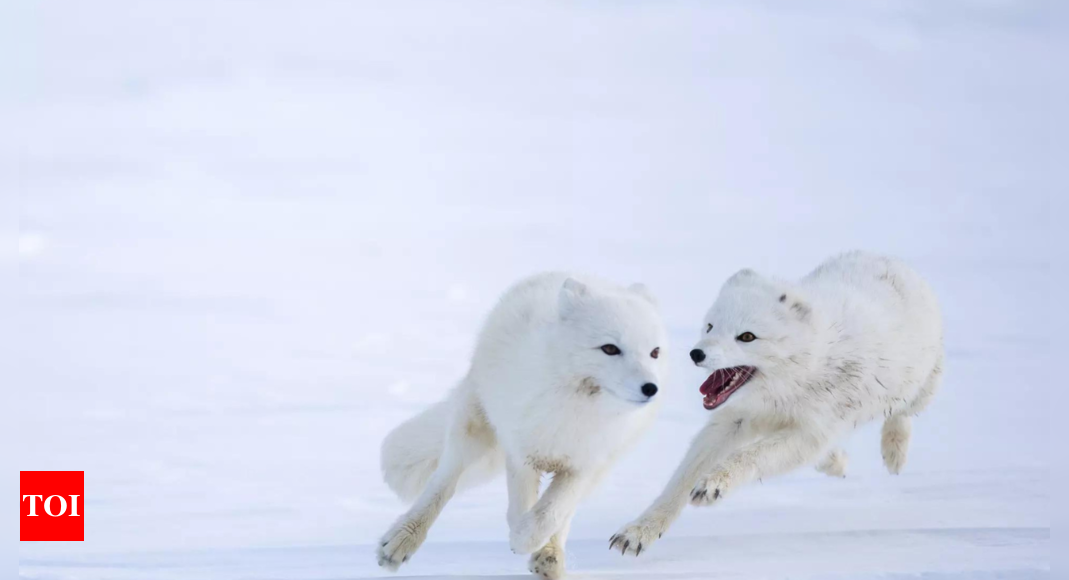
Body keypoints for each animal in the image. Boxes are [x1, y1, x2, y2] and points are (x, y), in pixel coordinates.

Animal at [378, 273, 667, 580]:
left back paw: (551, 558)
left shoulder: (584, 465)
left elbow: (551, 513)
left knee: (565, 516)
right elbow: (520, 510)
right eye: (610, 348)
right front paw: (521, 538)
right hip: (472, 430)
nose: (650, 388)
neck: (579, 411)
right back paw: (400, 540)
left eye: (654, 352)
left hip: (602, 469)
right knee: (443, 482)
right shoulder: (521, 454)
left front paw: (532, 542)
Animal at [611, 252, 944, 555]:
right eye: (710, 327)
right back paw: (837, 461)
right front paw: (639, 531)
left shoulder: (811, 431)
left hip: (919, 387)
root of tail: (888, 259)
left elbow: (750, 456)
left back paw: (894, 453)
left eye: (747, 337)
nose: (696, 353)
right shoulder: (732, 421)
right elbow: (681, 480)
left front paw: (713, 485)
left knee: (902, 413)